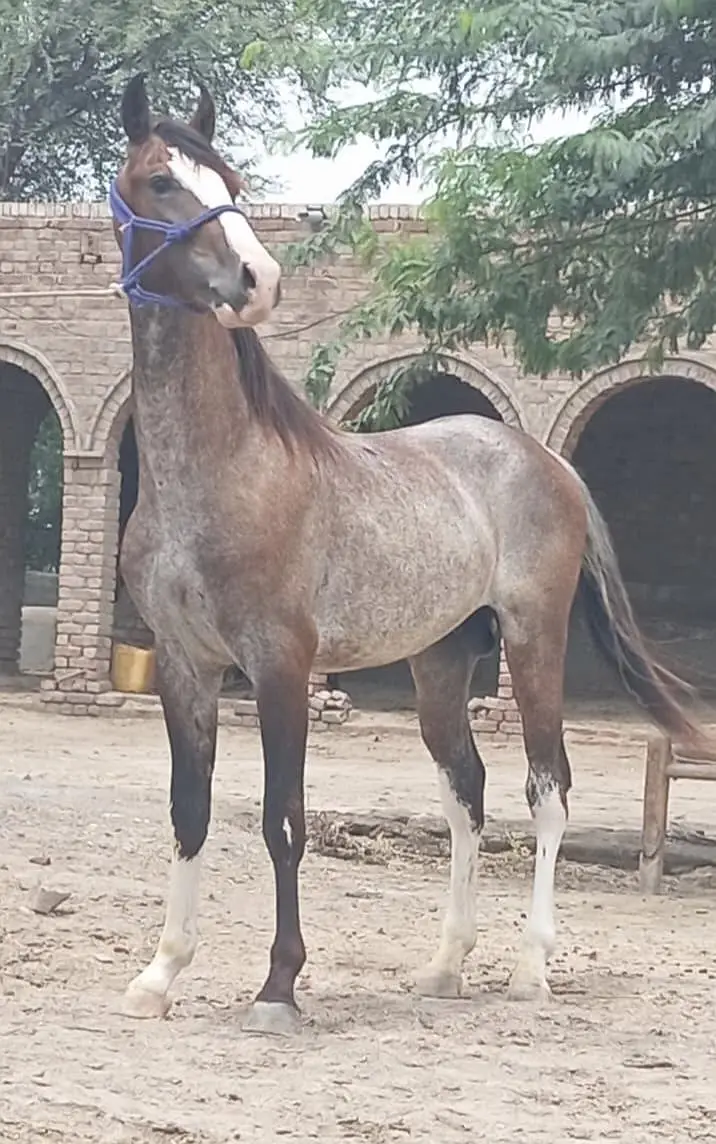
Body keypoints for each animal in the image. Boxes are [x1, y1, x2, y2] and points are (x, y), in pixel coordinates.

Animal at [110, 74, 705, 1035]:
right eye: (163, 181)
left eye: (230, 180)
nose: (258, 280)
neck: (218, 468)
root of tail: (548, 463)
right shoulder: (184, 667)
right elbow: (188, 813)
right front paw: (160, 975)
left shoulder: (281, 667)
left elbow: (283, 819)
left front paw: (278, 987)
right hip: (440, 663)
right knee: (468, 792)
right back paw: (445, 966)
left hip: (532, 643)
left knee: (547, 787)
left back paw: (530, 970)